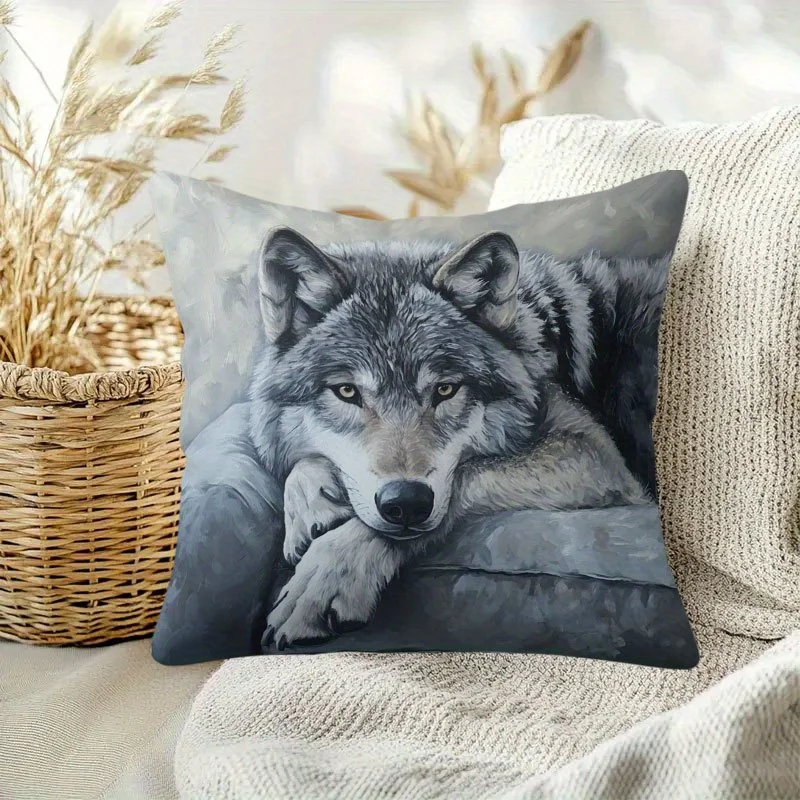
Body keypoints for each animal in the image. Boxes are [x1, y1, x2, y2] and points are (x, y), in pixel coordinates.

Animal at [248, 226, 669, 650]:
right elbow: (301, 468)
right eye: (347, 392)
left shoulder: (594, 453)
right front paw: (312, 507)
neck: (546, 340)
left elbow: (464, 476)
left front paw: (324, 580)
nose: (406, 503)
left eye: (446, 389)